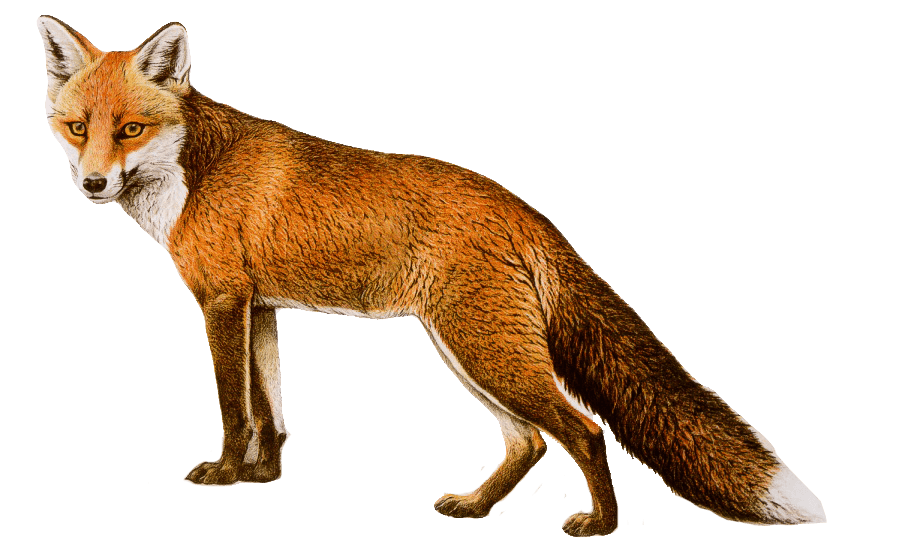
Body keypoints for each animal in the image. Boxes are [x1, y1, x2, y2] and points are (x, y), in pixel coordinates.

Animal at [38, 16, 825, 535]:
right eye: (77, 127)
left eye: (131, 129)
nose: (93, 183)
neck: (191, 176)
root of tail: (523, 208)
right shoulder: (261, 308)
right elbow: (271, 411)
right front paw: (264, 476)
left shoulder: (222, 302)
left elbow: (236, 408)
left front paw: (227, 475)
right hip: (467, 350)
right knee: (530, 441)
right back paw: (476, 507)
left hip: (482, 350)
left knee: (582, 427)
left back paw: (598, 523)